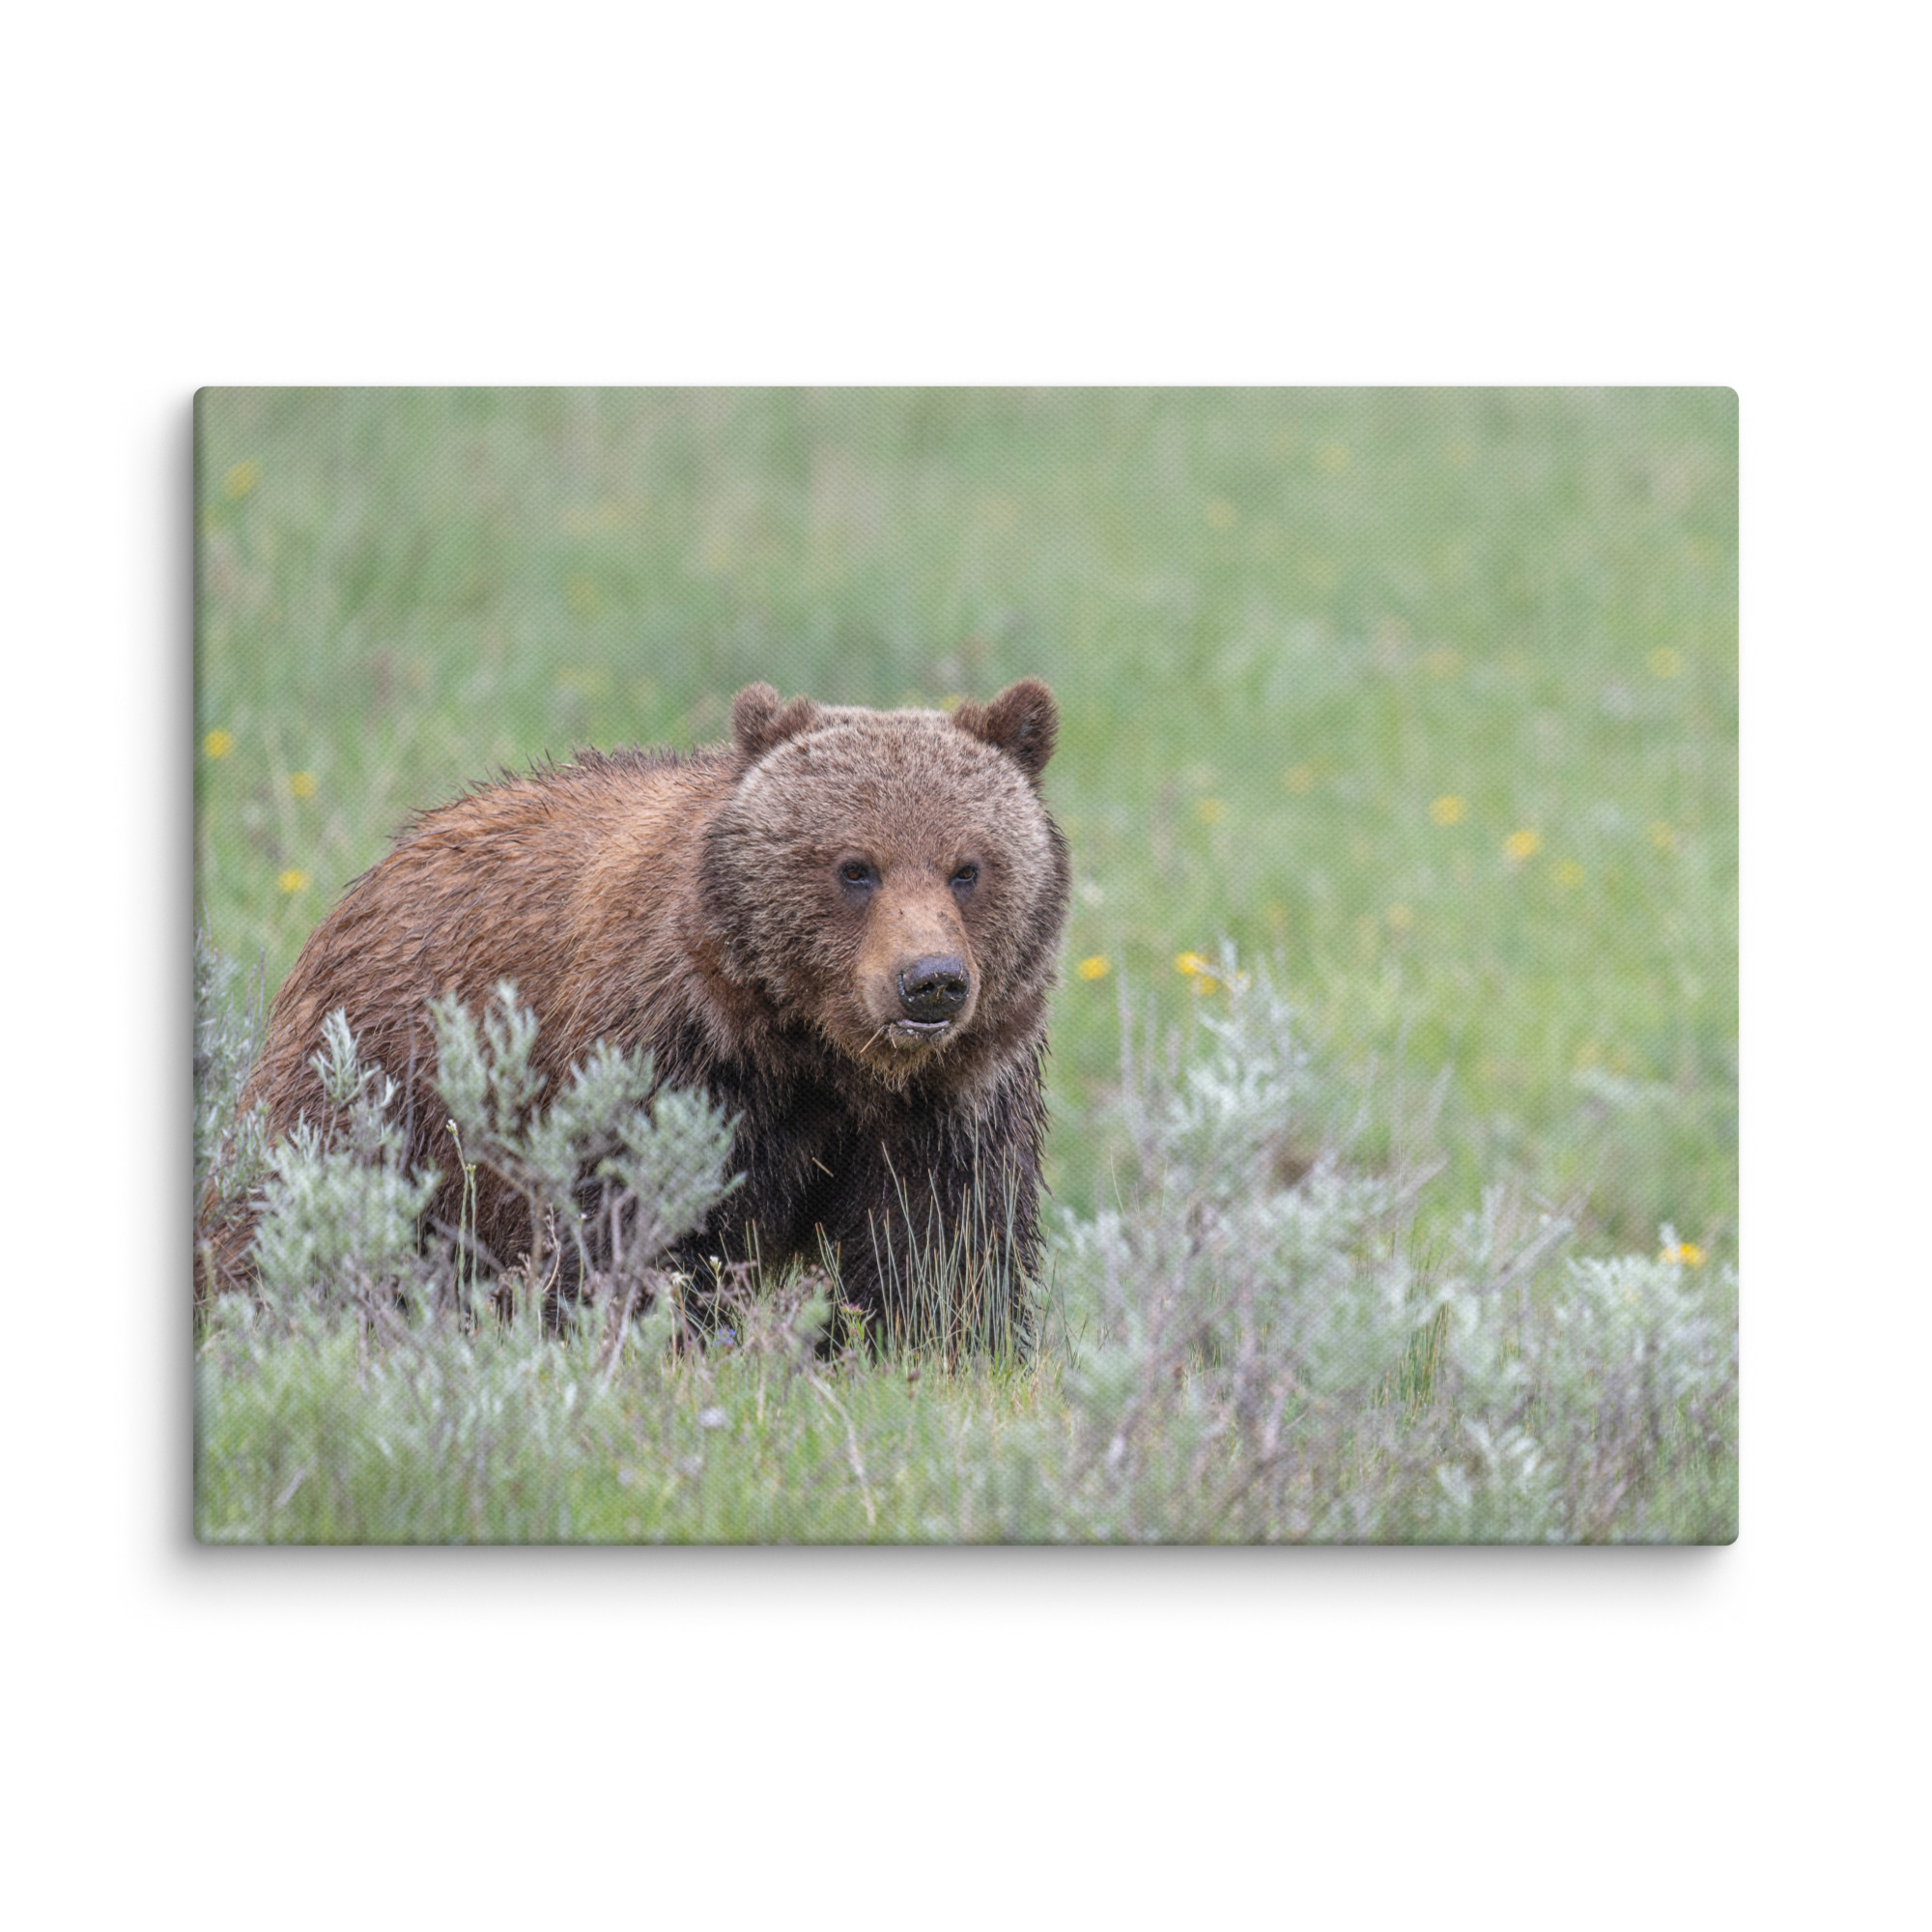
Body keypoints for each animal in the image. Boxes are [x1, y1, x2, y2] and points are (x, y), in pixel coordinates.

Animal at [199, 679, 1071, 1335]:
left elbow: (939, 1252)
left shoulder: (950, 1101)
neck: (817, 1054)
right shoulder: (668, 1060)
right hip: (378, 1078)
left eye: (968, 867)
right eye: (855, 867)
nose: (931, 981)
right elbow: (630, 1229)